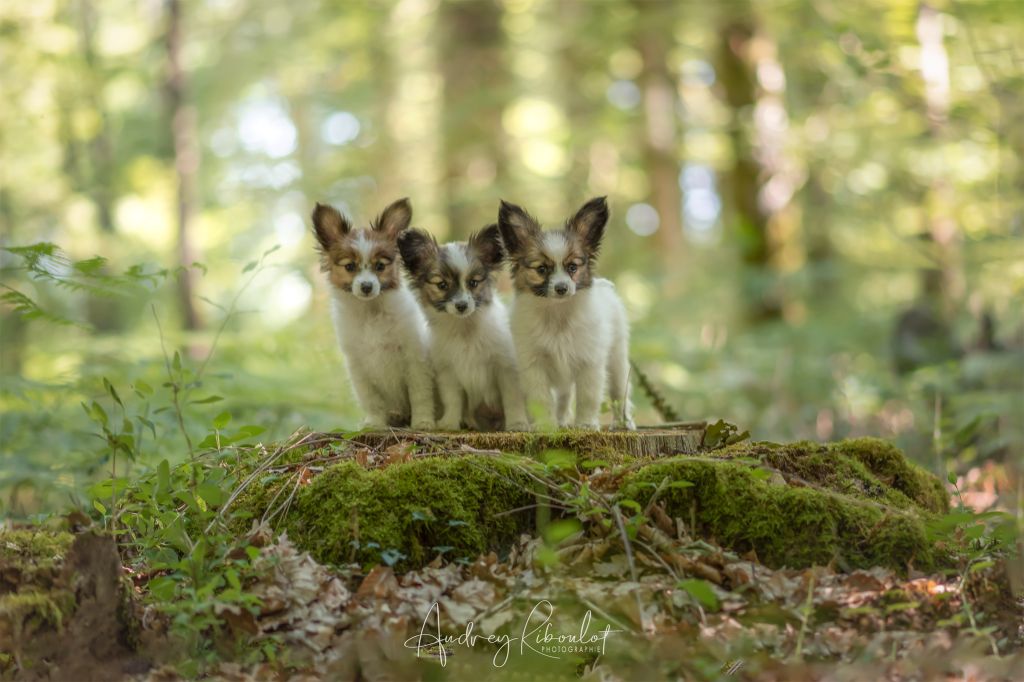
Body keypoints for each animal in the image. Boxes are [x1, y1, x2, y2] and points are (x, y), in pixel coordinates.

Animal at [313, 196, 438, 428]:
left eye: (380, 266)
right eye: (350, 267)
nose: (366, 286)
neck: (371, 312)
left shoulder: (414, 359)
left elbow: (420, 394)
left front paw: (423, 422)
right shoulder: (358, 366)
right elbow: (371, 399)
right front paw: (375, 422)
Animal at [397, 227, 532, 430]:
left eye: (473, 283)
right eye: (442, 285)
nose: (461, 305)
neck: (464, 329)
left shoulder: (506, 368)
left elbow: (512, 399)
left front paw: (517, 423)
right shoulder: (448, 373)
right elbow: (453, 400)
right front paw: (450, 423)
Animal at [495, 197, 630, 430]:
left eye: (572, 267)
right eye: (541, 269)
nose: (561, 288)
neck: (557, 314)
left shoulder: (589, 362)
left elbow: (587, 397)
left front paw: (586, 424)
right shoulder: (534, 365)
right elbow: (542, 399)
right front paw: (546, 426)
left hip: (617, 359)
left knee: (619, 393)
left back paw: (624, 423)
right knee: (564, 396)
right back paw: (561, 421)